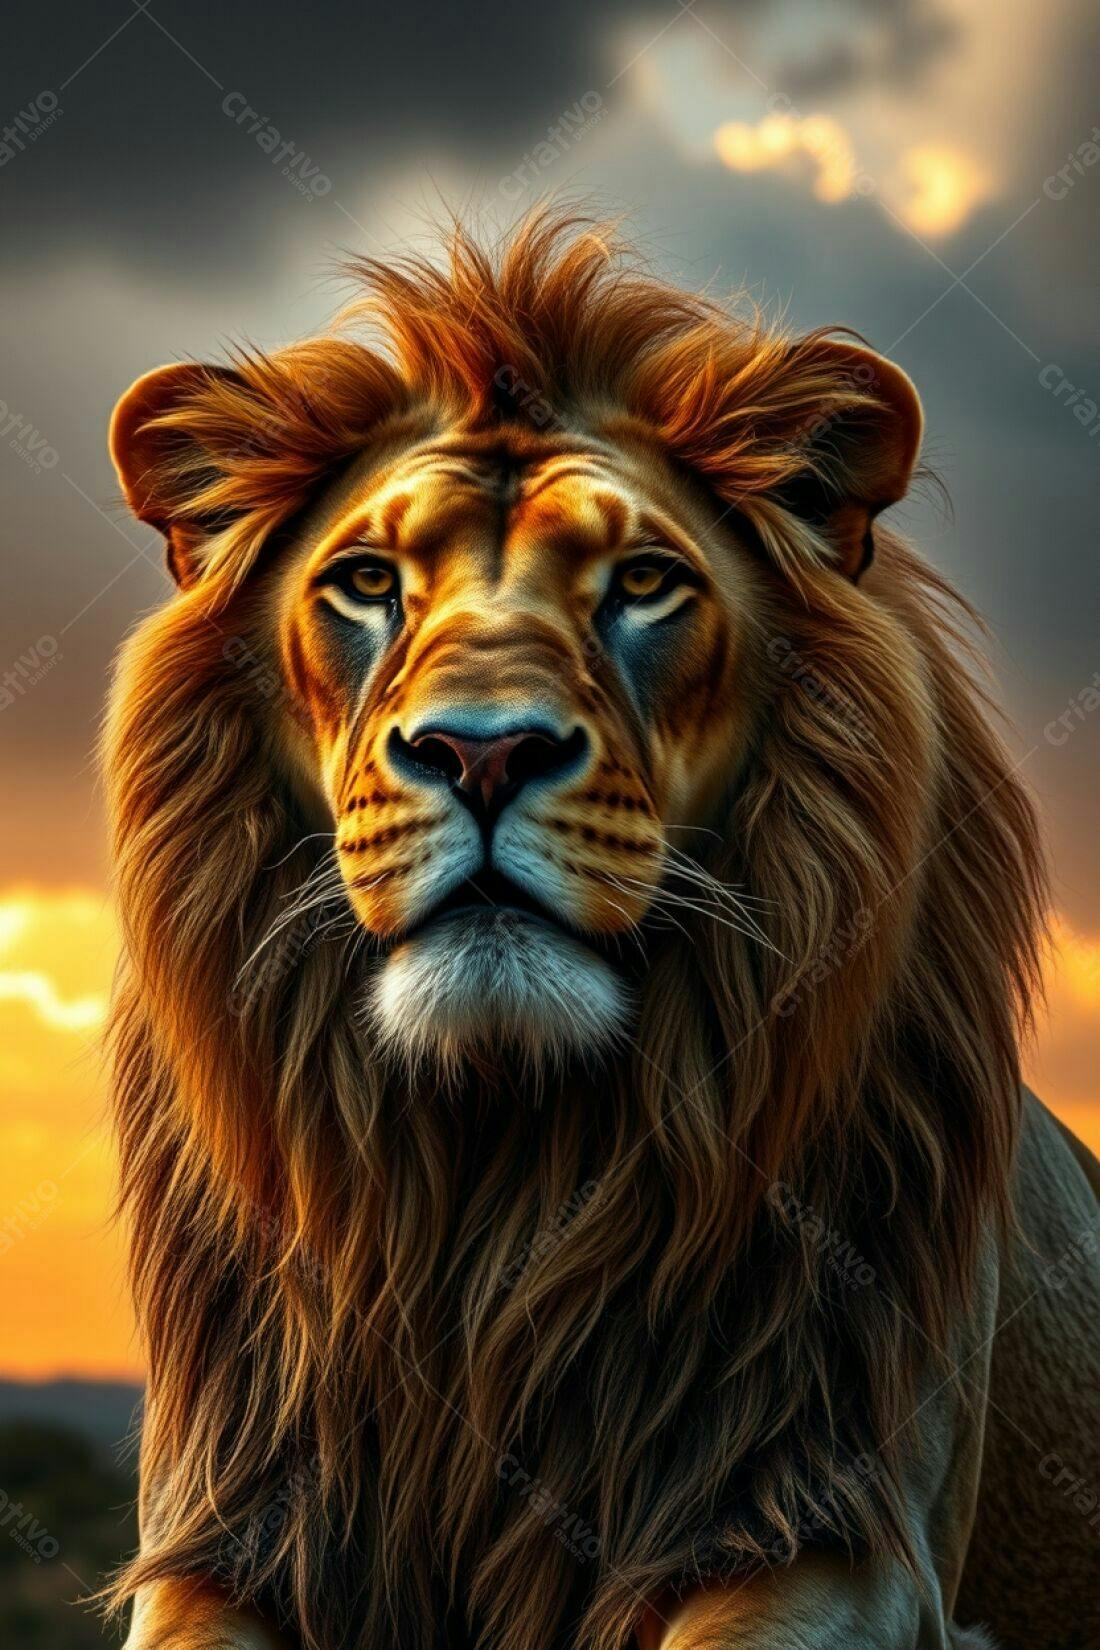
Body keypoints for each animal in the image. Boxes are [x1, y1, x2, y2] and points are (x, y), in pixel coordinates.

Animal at [103, 212, 1099, 1650]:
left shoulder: (824, 1526)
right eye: (365, 583)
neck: (499, 1163)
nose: (482, 750)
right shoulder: (230, 1531)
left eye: (642, 583)